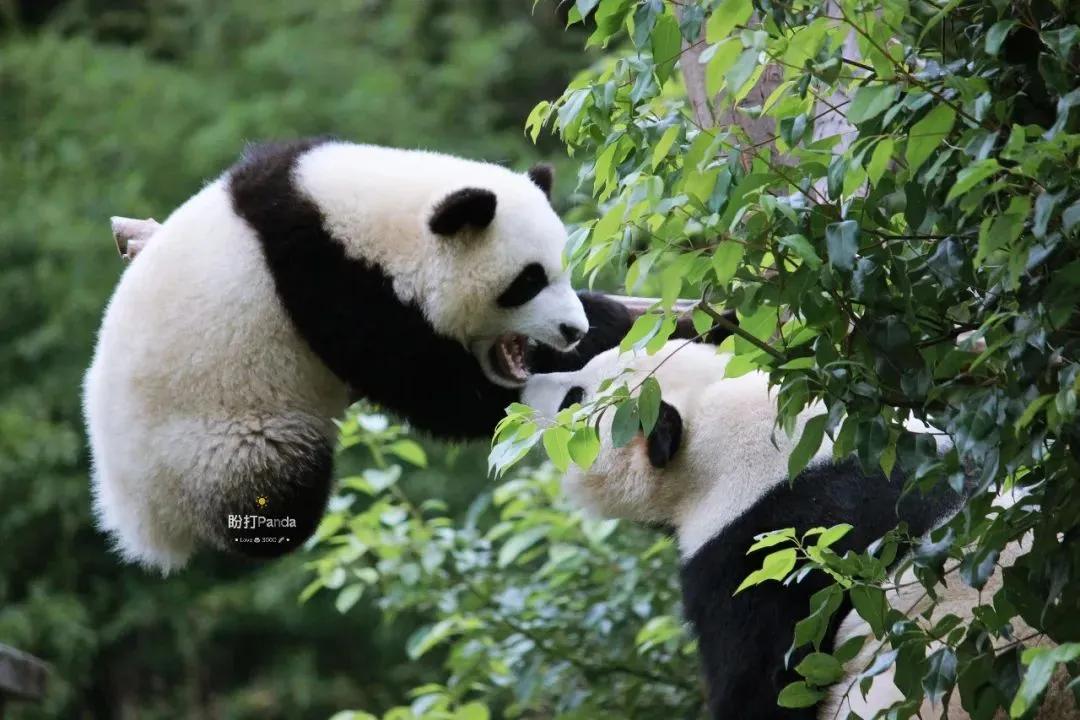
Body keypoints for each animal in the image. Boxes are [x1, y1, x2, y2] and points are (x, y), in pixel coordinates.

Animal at [84, 139, 604, 574]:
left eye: (562, 272)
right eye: (528, 282)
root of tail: (135, 517)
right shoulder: (329, 281)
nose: (572, 330)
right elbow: (437, 393)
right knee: (276, 485)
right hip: (212, 441)